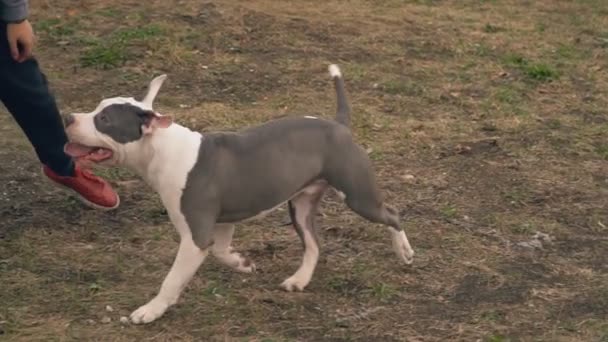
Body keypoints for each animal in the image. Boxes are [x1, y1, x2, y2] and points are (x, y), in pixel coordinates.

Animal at [64, 64, 416, 324]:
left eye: (104, 119)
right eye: (97, 108)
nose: (67, 117)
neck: (162, 149)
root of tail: (339, 125)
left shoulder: (195, 236)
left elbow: (172, 279)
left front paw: (150, 310)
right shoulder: (221, 224)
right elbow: (222, 252)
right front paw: (243, 263)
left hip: (358, 196)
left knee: (393, 215)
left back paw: (405, 251)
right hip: (300, 206)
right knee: (314, 244)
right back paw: (299, 280)